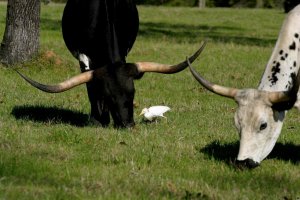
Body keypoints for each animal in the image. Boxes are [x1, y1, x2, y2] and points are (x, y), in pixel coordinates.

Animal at [17, 0, 205, 127]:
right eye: (109, 97)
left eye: (133, 93)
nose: (128, 125)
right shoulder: (83, 58)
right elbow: (92, 89)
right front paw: (98, 119)